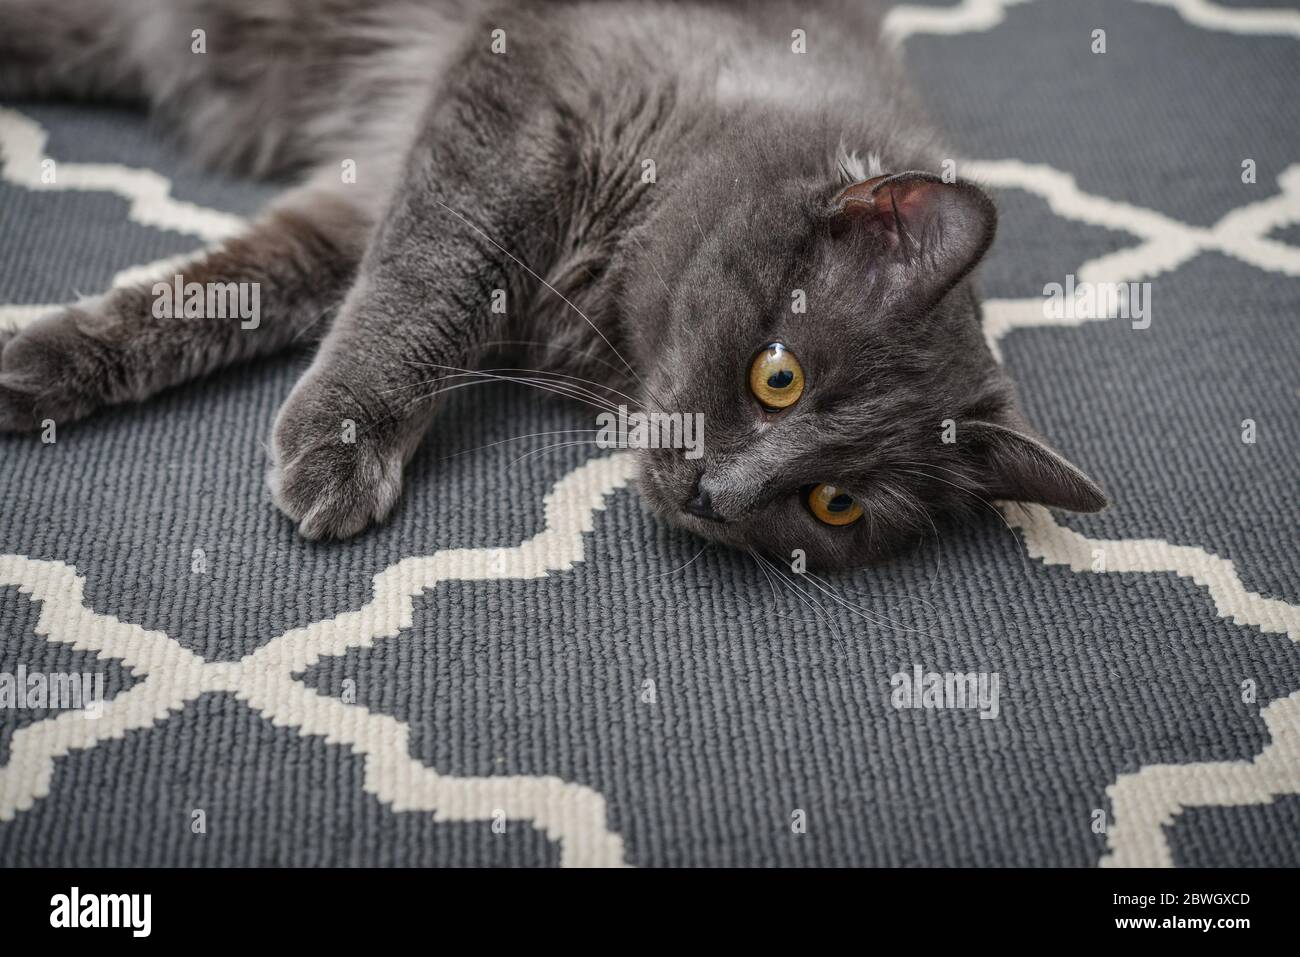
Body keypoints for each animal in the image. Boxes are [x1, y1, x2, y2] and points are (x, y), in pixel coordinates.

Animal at [0, 0, 1102, 566]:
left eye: (835, 505)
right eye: (777, 375)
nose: (717, 495)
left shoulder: (362, 197)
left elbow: (238, 292)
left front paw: (41, 365)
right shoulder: (516, 105)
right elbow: (431, 275)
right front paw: (342, 444)